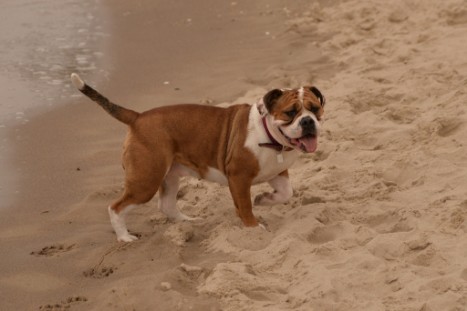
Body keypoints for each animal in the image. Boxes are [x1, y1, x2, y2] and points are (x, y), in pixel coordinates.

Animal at [71, 73, 326, 244]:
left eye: (314, 108)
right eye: (290, 113)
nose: (308, 121)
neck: (270, 136)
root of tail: (137, 117)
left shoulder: (278, 173)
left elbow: (286, 193)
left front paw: (264, 199)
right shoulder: (239, 178)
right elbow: (244, 206)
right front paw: (253, 228)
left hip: (169, 176)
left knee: (166, 204)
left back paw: (187, 221)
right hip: (146, 181)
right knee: (116, 207)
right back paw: (124, 237)